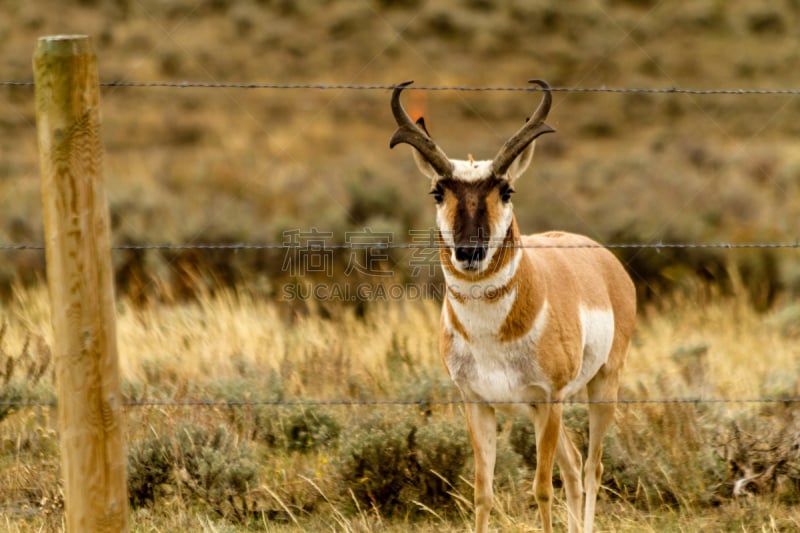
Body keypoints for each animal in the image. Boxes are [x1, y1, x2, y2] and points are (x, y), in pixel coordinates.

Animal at [390, 80, 636, 532]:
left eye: (506, 190)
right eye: (437, 192)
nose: (469, 252)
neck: (490, 336)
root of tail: (602, 257)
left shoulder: (548, 400)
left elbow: (541, 489)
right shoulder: (478, 404)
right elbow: (482, 492)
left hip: (601, 387)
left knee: (591, 467)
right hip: (544, 412)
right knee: (573, 465)